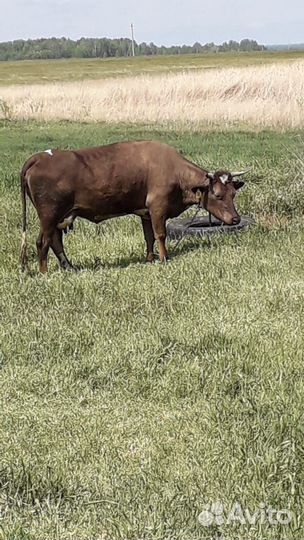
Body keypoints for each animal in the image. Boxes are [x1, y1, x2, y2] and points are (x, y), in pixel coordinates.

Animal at [19, 140, 247, 274]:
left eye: (233, 194)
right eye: (217, 195)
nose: (236, 219)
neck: (173, 170)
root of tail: (40, 156)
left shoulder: (145, 213)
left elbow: (149, 237)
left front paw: (150, 259)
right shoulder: (157, 208)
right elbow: (160, 235)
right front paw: (164, 258)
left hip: (58, 217)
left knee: (55, 241)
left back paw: (69, 267)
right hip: (49, 215)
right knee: (42, 242)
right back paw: (44, 272)